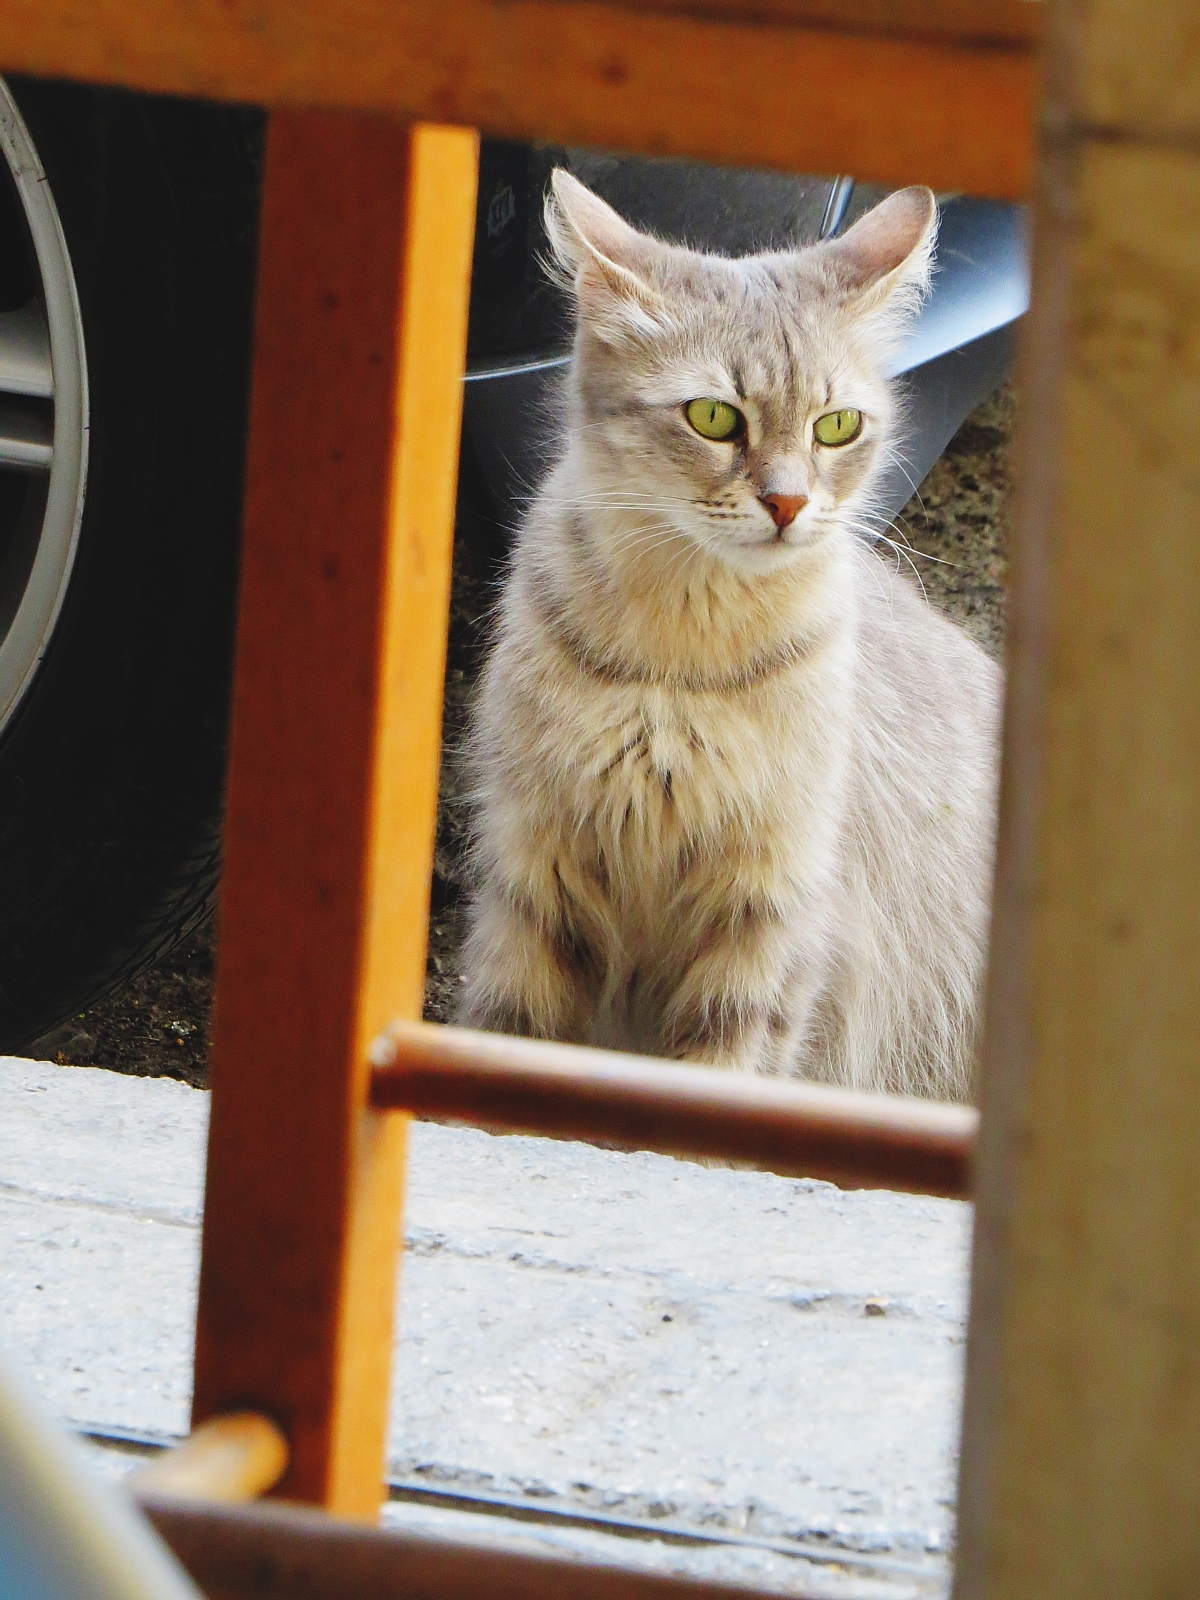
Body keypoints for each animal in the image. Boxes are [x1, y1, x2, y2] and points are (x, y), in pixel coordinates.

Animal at [460, 172, 1004, 1100]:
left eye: (835, 427)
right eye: (714, 417)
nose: (787, 502)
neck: (681, 669)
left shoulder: (768, 912)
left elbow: (722, 1072)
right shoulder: (536, 873)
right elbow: (505, 1036)